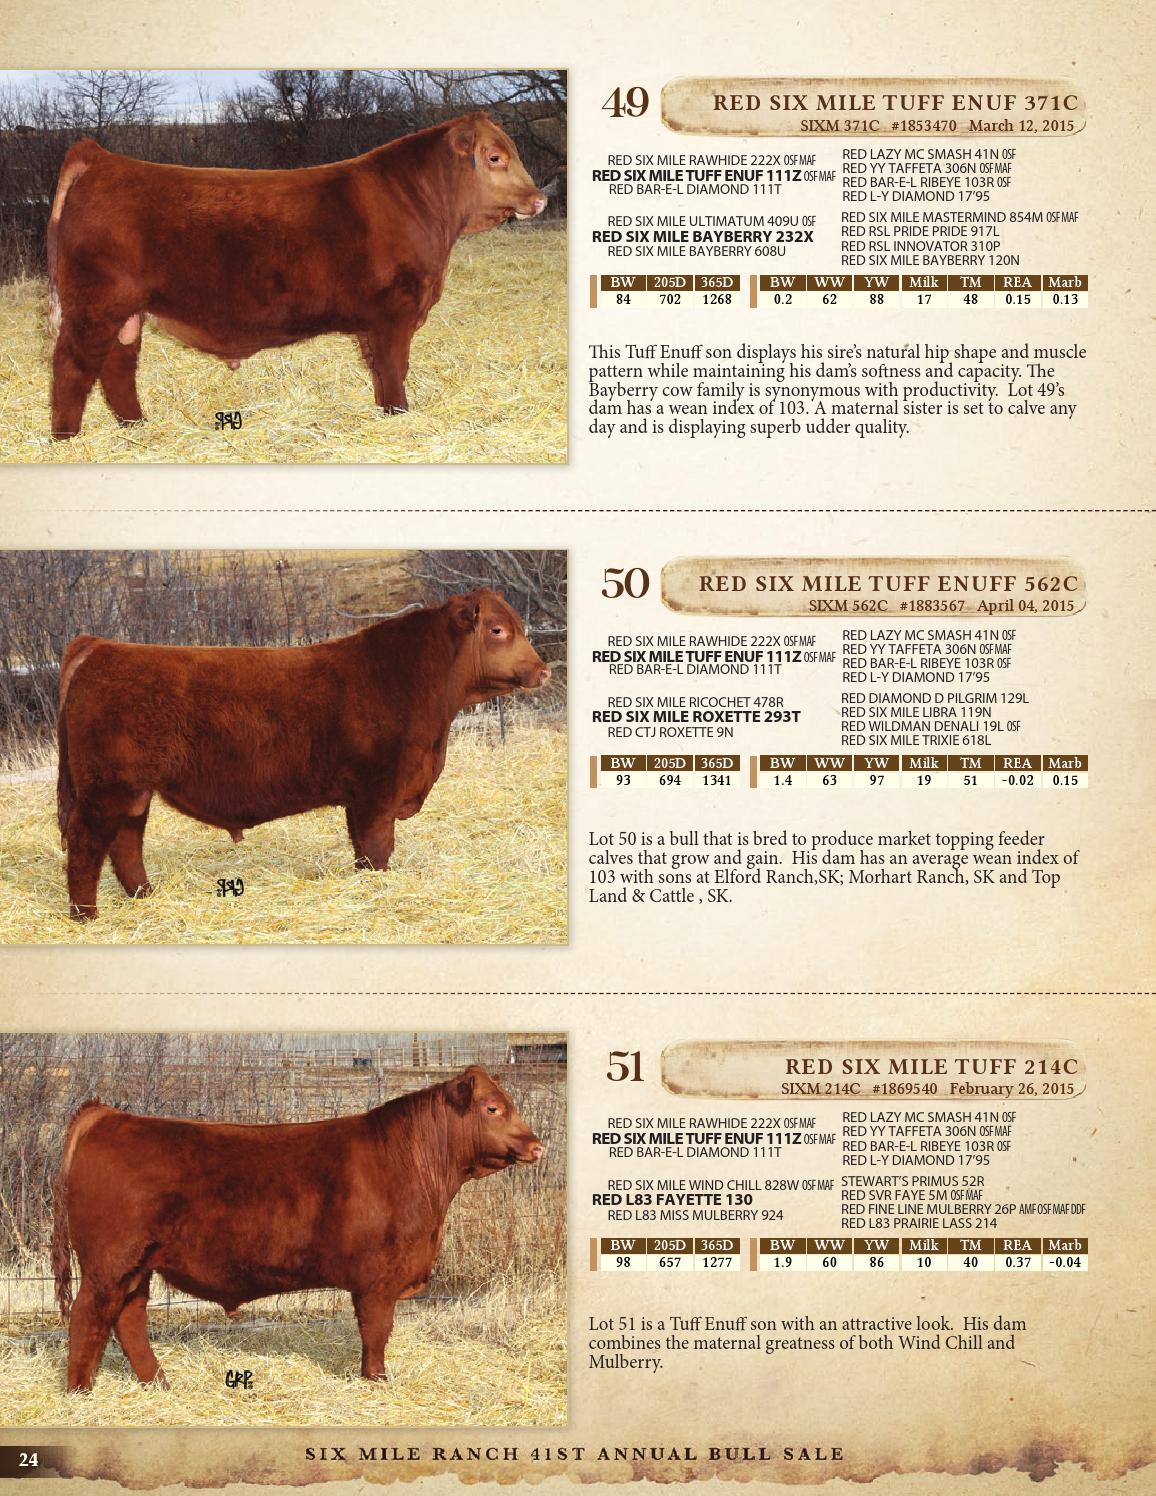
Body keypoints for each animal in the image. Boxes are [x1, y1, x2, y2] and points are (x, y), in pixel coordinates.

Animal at [45, 112, 548, 438]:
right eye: (495, 157)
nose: (540, 199)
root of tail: (102, 157)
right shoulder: (393, 313)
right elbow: (393, 370)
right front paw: (398, 416)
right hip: (95, 305)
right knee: (73, 366)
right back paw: (66, 438)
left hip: (126, 313)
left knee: (117, 367)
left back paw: (137, 426)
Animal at [51, 1066, 545, 1391]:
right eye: (493, 1107)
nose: (537, 1146)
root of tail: (107, 1114)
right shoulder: (377, 1278)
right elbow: (377, 1330)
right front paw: (377, 1380)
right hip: (109, 1261)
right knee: (88, 1315)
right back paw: (79, 1391)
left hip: (137, 1263)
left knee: (128, 1317)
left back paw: (158, 1383)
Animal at [55, 588, 550, 919]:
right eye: (498, 630)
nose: (543, 671)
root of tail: (101, 645)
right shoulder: (376, 791)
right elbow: (376, 849)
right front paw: (377, 888)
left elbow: (365, 850)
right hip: (108, 788)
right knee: (85, 843)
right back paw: (86, 915)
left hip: (132, 791)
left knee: (125, 843)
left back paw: (145, 897)